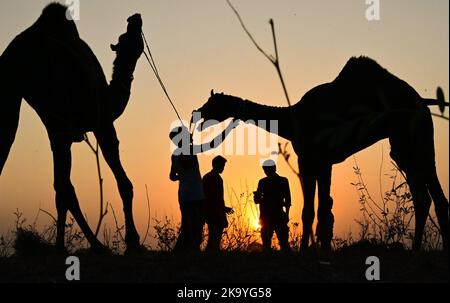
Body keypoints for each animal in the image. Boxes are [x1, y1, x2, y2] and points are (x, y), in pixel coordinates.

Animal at [0, 3, 143, 253]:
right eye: (128, 38)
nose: (134, 18)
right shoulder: (103, 122)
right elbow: (124, 183)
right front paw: (133, 242)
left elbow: (62, 187)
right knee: (65, 187)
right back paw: (93, 245)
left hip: (16, 99)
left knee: (61, 186)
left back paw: (72, 246)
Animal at [195, 57, 448, 252]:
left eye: (212, 102)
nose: (197, 112)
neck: (292, 120)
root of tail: (422, 103)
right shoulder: (317, 161)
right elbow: (317, 207)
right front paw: (316, 249)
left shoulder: (315, 160)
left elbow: (314, 209)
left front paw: (307, 251)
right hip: (405, 147)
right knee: (425, 197)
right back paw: (421, 249)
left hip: (414, 140)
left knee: (430, 195)